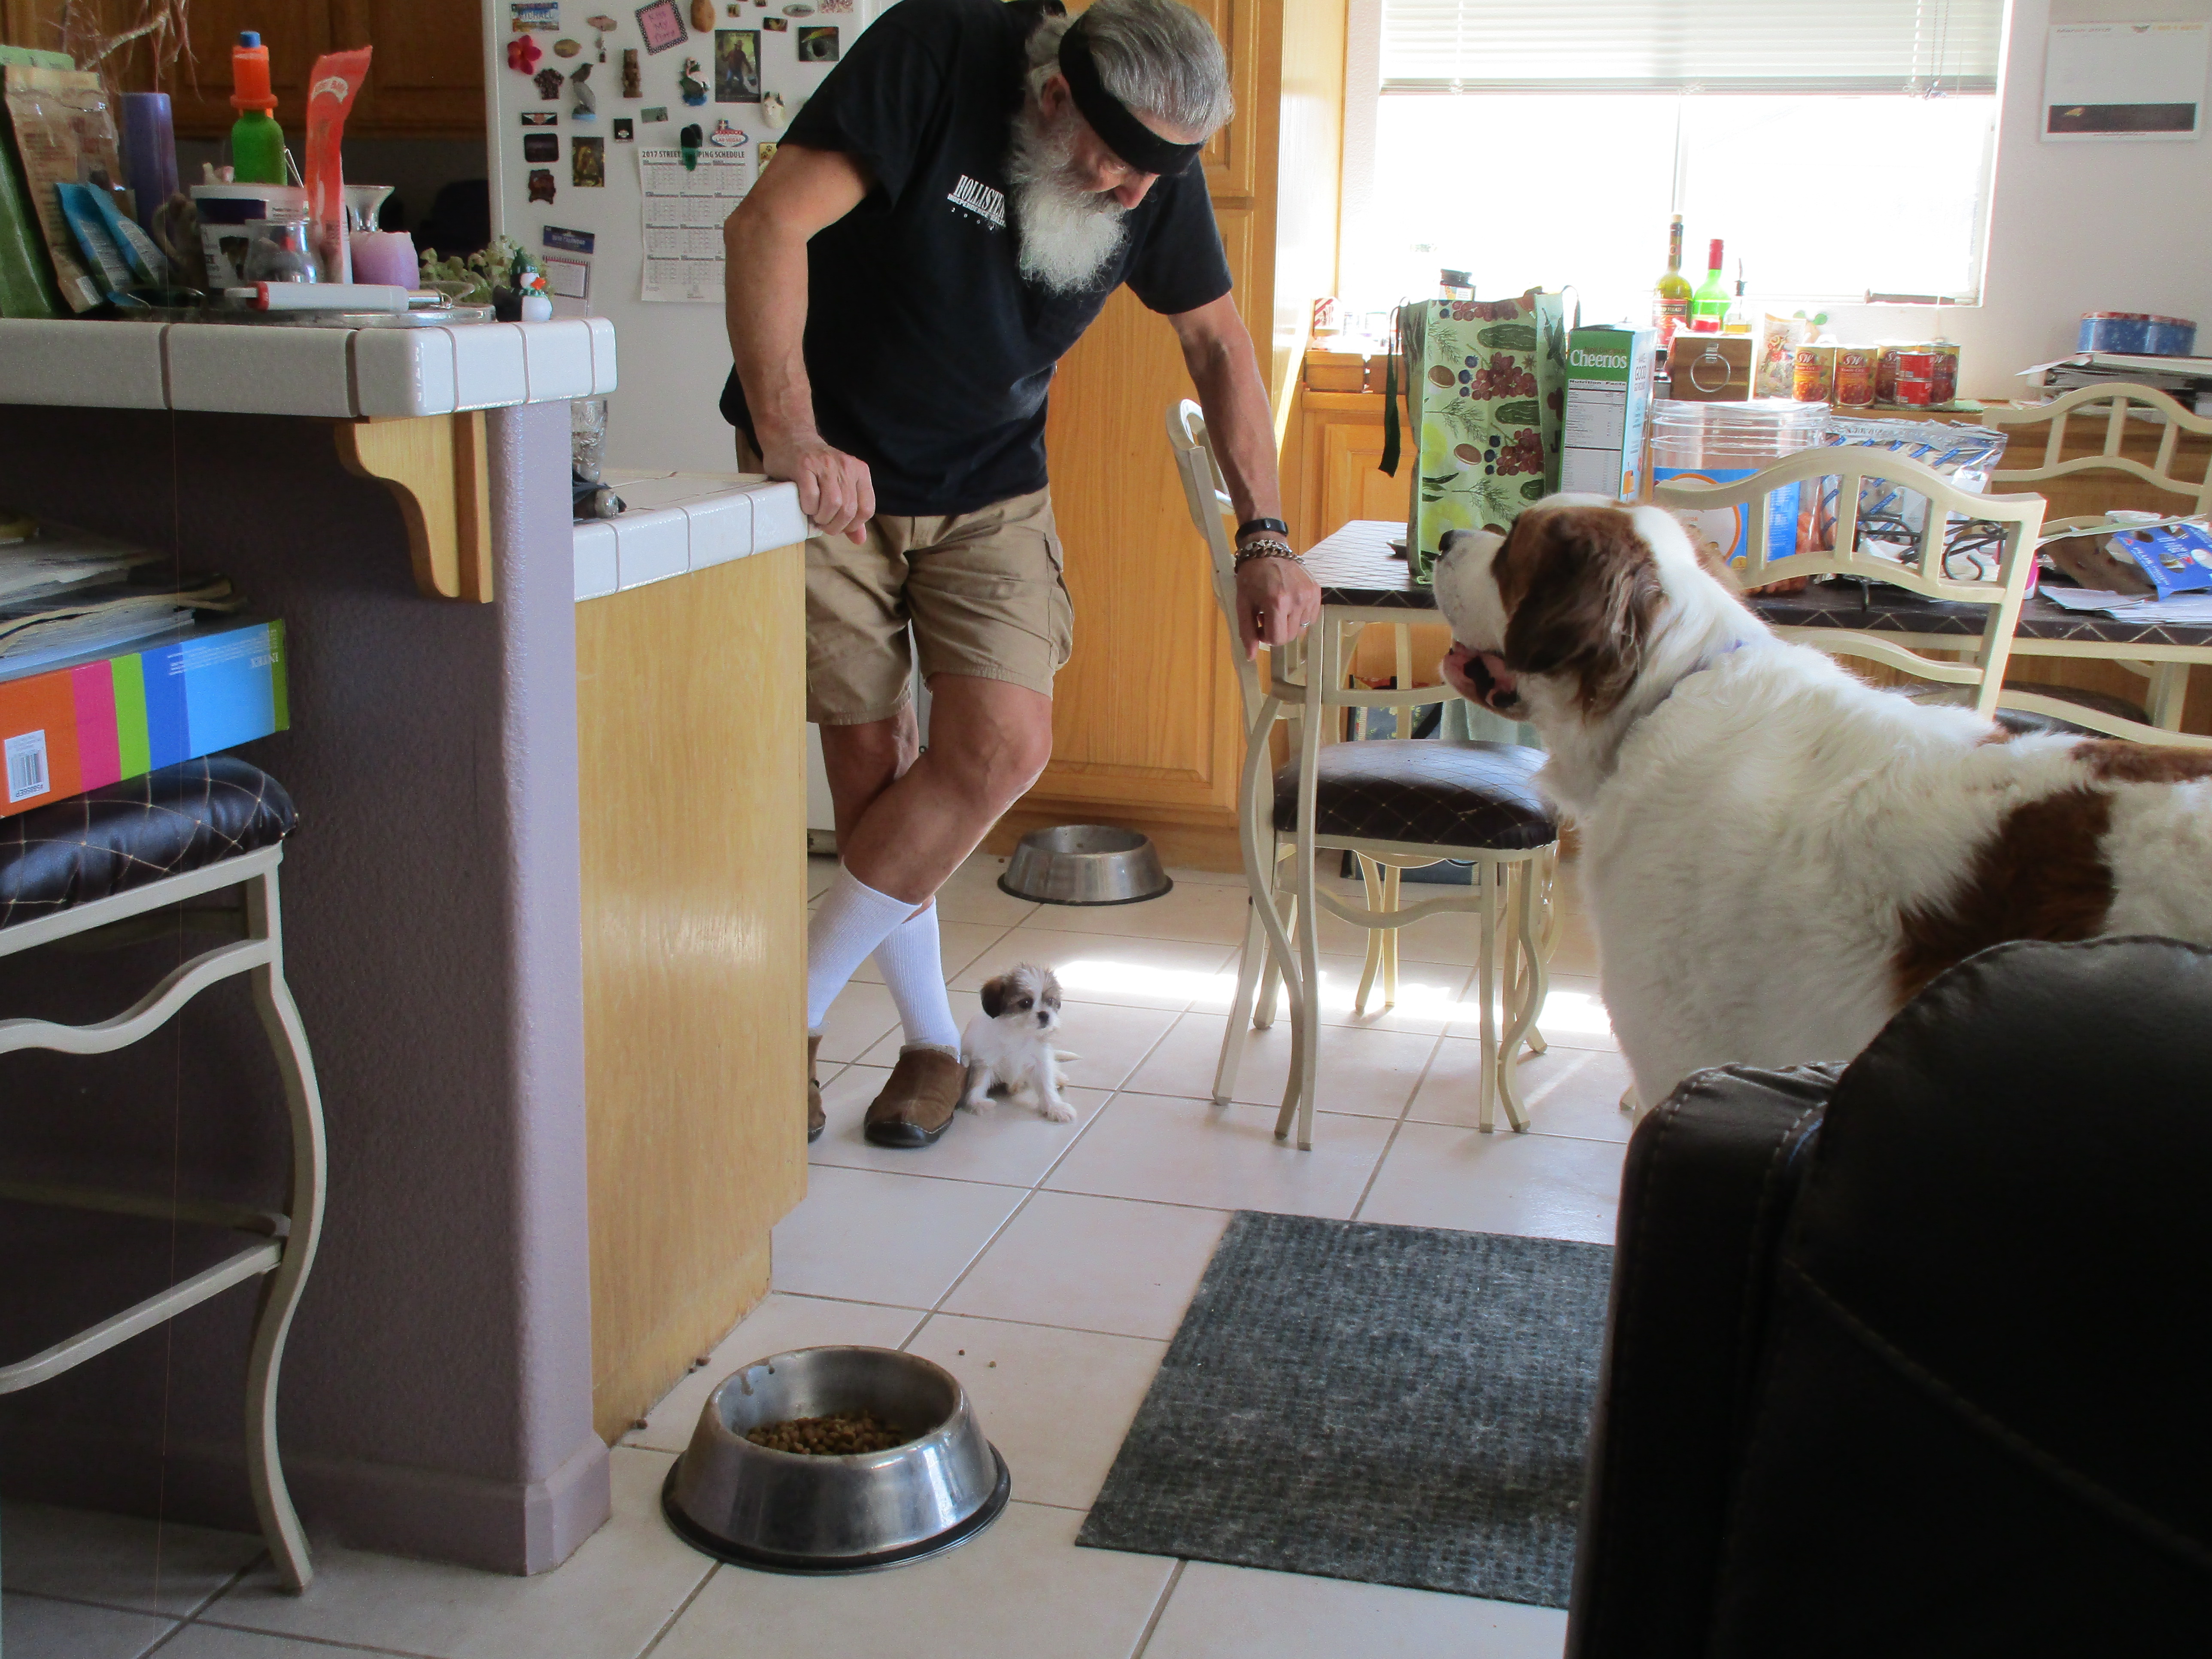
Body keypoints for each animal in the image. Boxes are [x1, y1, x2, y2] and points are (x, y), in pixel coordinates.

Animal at [961, 963, 1078, 1122]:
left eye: (1050, 1001)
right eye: (1025, 1003)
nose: (1045, 1015)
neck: (1019, 1033)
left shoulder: (1039, 1060)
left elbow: (1046, 1084)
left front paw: (1055, 1107)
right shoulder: (985, 1061)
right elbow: (979, 1082)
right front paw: (977, 1102)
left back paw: (1057, 1077)